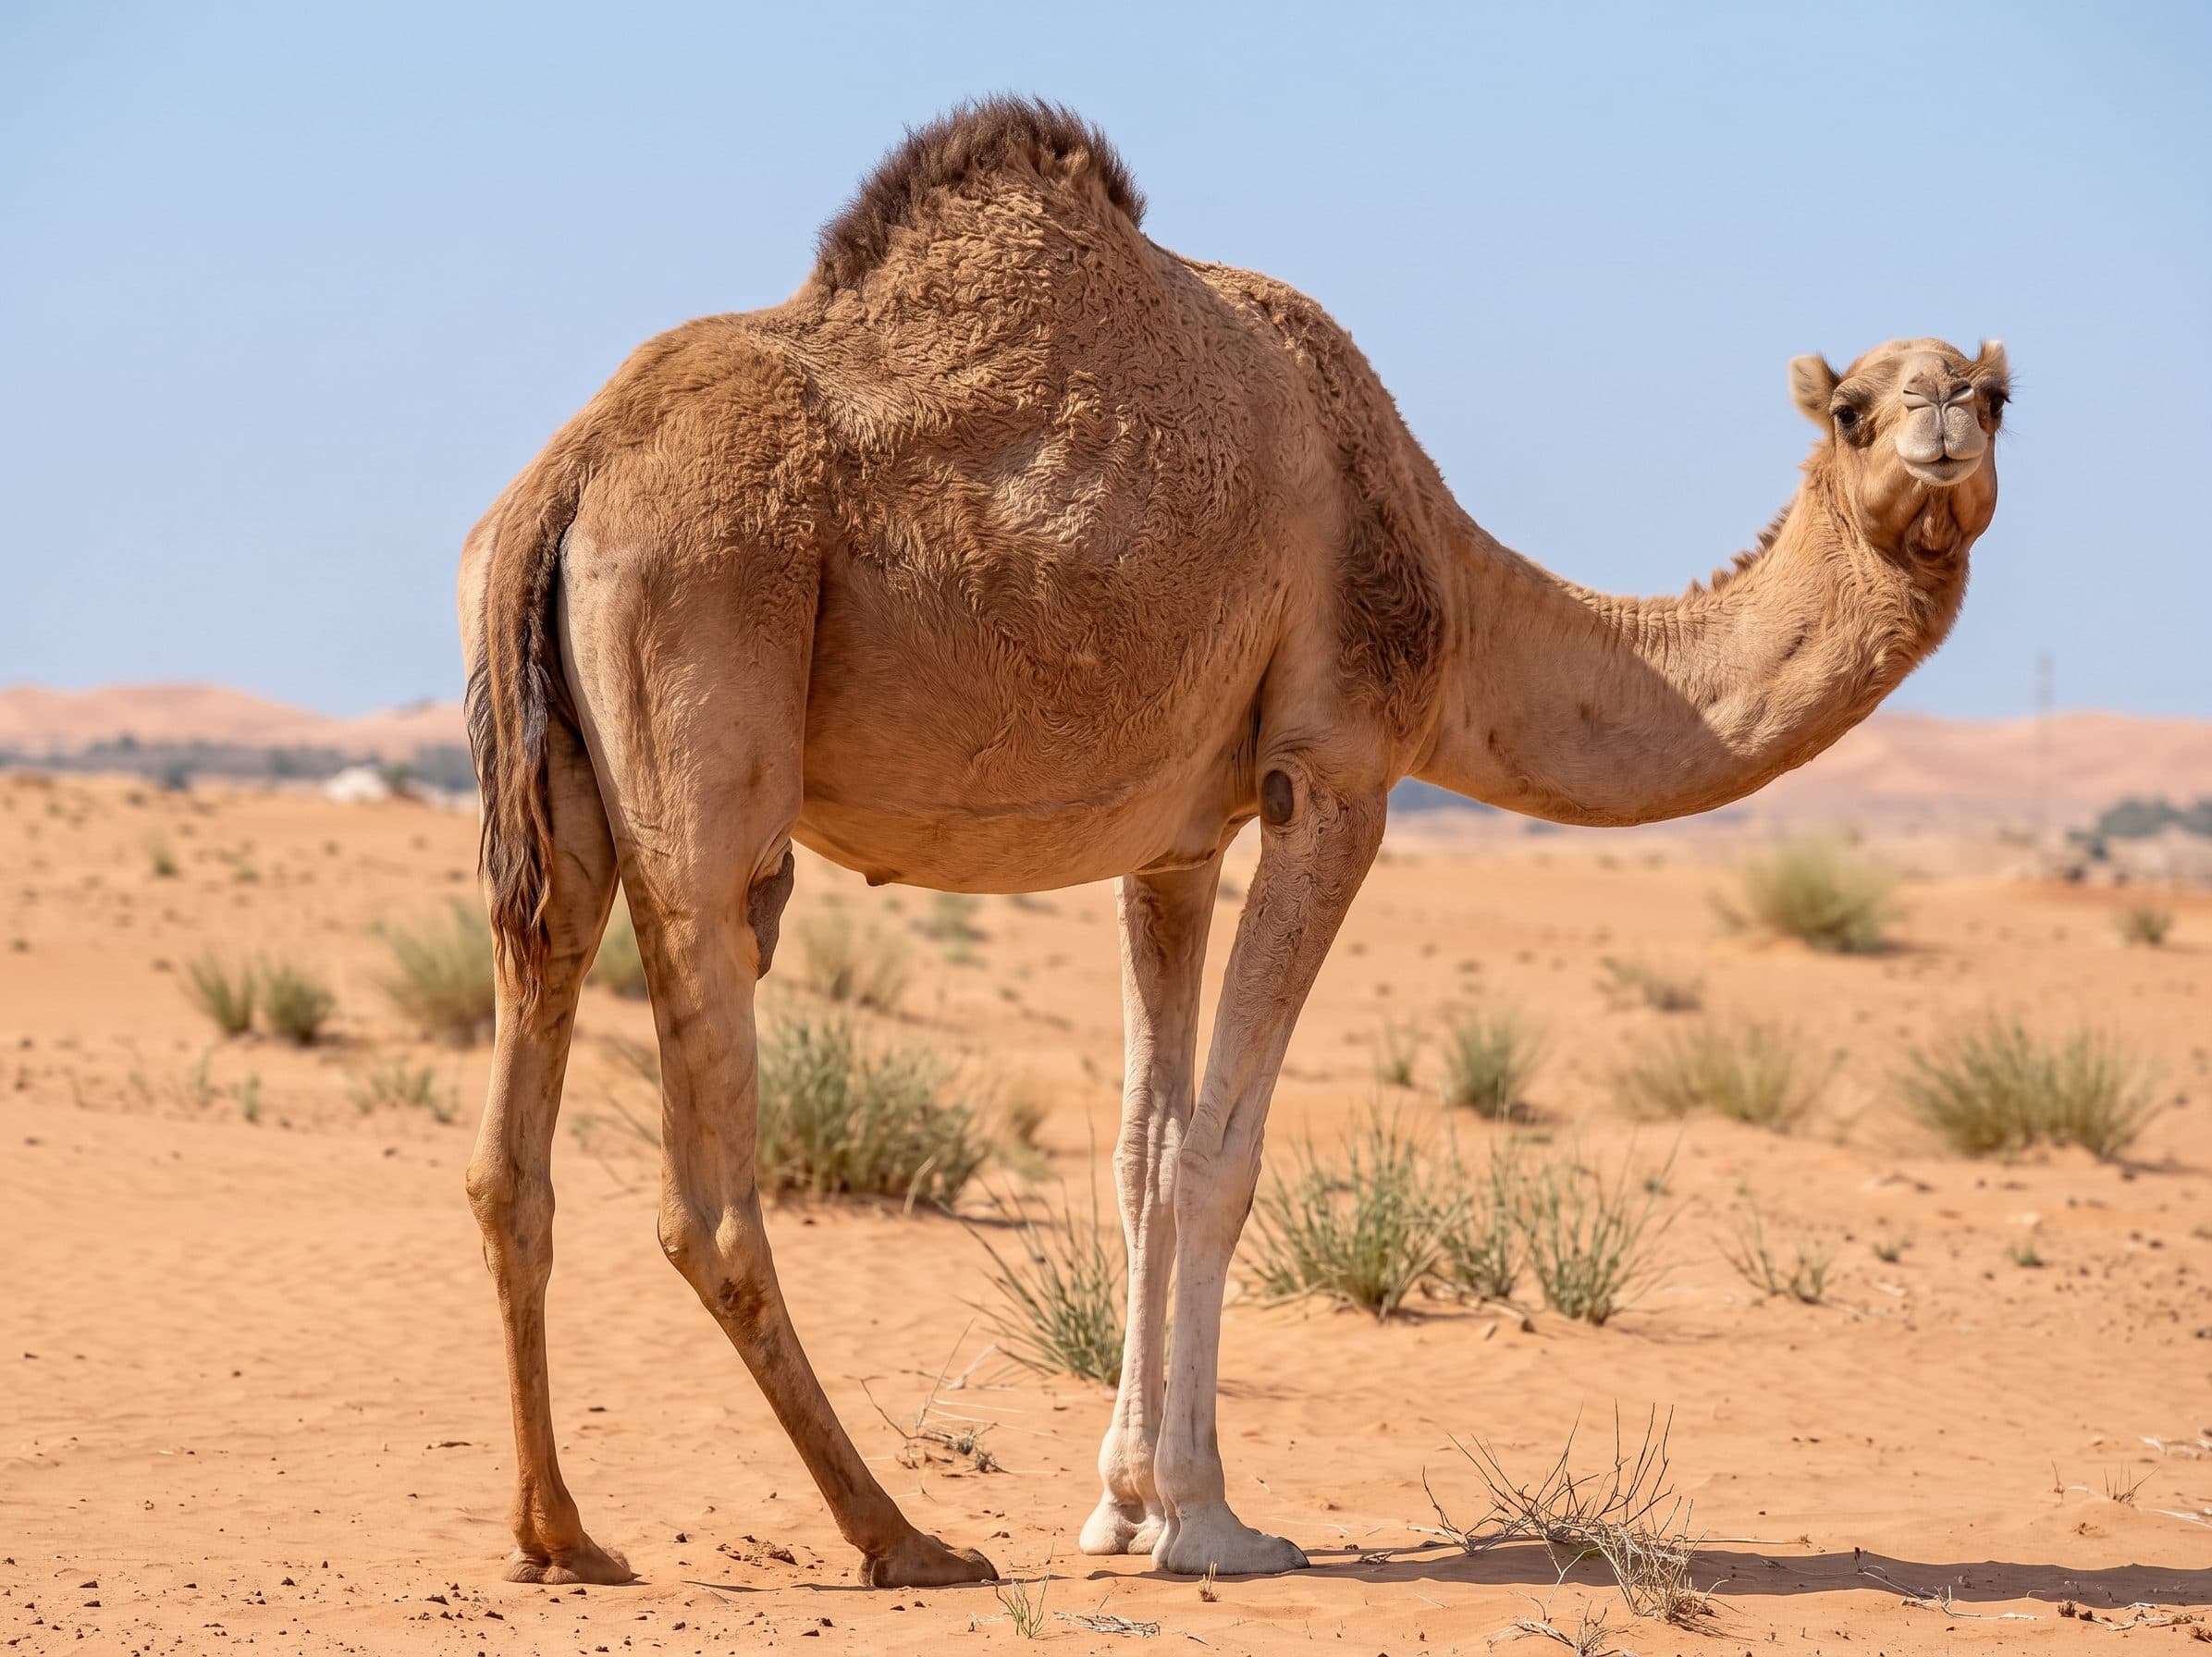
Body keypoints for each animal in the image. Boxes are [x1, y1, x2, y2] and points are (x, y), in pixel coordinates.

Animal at [457, 98, 2006, 1588]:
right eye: (1856, 408)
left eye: (1996, 392)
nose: (1942, 422)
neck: (1454, 591)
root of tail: (566, 475)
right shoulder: (1335, 773)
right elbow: (1221, 1155)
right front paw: (1209, 1523)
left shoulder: (1173, 844)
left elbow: (1144, 1152)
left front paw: (1121, 1507)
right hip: (709, 680)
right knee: (708, 1175)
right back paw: (902, 1539)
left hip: (557, 792)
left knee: (514, 1134)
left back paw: (563, 1535)